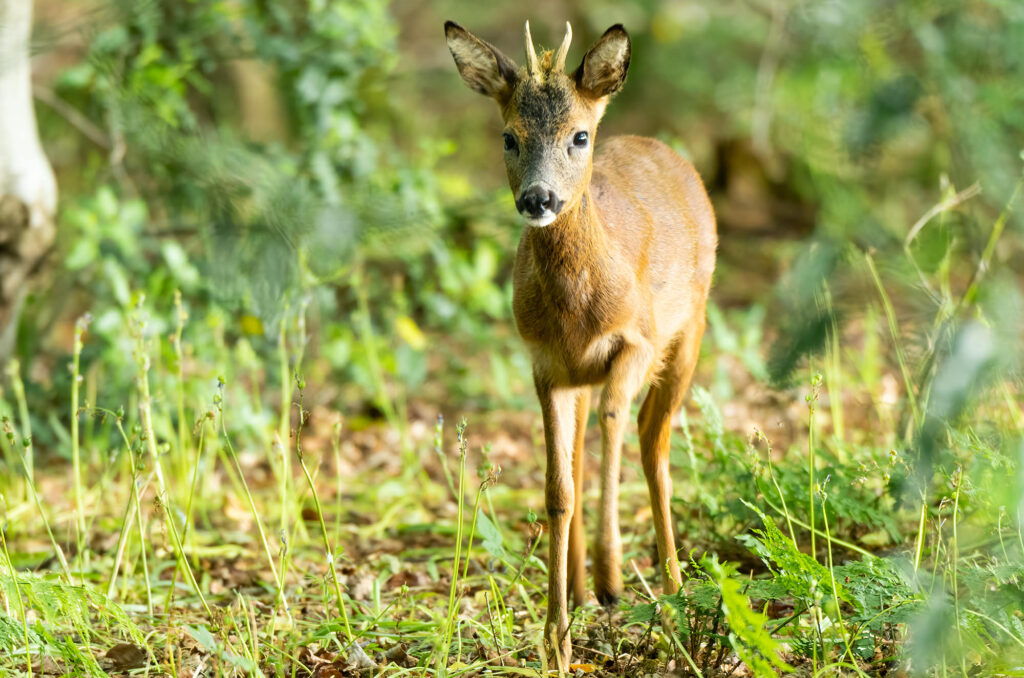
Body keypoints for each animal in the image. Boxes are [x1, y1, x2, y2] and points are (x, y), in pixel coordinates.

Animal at [444, 17, 716, 667]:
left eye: (580, 135)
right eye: (509, 137)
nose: (538, 198)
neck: (579, 311)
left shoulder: (638, 339)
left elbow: (615, 431)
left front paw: (614, 579)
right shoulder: (544, 364)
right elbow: (557, 490)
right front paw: (556, 641)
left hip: (690, 329)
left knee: (651, 443)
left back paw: (668, 589)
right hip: (582, 376)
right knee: (590, 453)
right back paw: (587, 592)